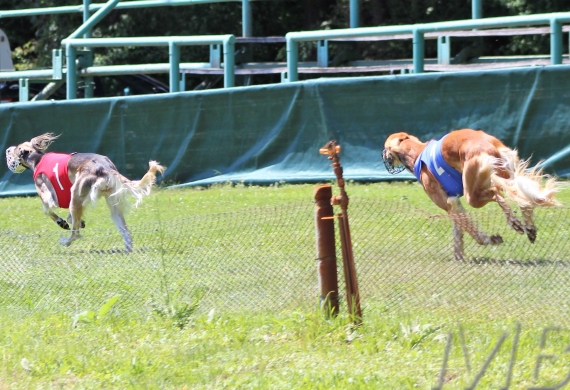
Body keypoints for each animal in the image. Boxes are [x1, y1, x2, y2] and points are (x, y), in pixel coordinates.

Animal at [5, 133, 164, 251]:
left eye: (15, 149)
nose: (7, 149)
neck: (37, 158)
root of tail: (105, 167)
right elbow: (70, 217)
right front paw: (76, 221)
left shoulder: (49, 196)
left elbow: (47, 210)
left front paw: (61, 222)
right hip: (112, 204)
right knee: (125, 230)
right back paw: (128, 249)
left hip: (76, 193)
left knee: (75, 233)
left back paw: (66, 241)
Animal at [380, 129, 556, 260]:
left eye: (386, 147)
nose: (382, 156)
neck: (416, 152)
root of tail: (491, 146)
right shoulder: (454, 202)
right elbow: (458, 232)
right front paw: (459, 257)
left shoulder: (447, 203)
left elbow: (471, 230)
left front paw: (489, 240)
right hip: (506, 174)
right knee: (523, 199)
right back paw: (529, 227)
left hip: (473, 191)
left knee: (496, 193)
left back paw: (514, 222)